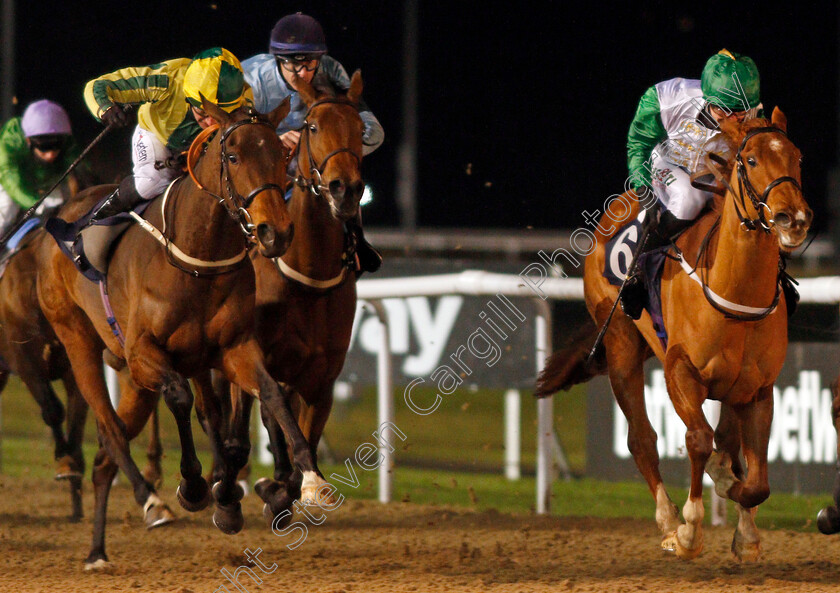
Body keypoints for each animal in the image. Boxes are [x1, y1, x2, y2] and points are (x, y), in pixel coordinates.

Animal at [37, 97, 332, 568]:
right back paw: (148, 501)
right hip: (79, 341)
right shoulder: (143, 353)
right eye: (234, 157)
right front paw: (193, 487)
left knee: (115, 452)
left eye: (281, 155)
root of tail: (59, 219)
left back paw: (100, 549)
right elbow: (179, 398)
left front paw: (308, 479)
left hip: (156, 374)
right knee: (111, 431)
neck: (197, 257)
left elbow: (269, 395)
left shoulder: (233, 348)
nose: (276, 232)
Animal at [536, 107, 812, 560]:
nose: (794, 219)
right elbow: (698, 440)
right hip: (621, 345)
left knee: (725, 441)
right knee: (642, 438)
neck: (732, 291)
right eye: (751, 160)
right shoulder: (679, 371)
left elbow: (753, 479)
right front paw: (689, 529)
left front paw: (744, 529)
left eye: (797, 158)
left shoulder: (757, 387)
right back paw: (667, 522)